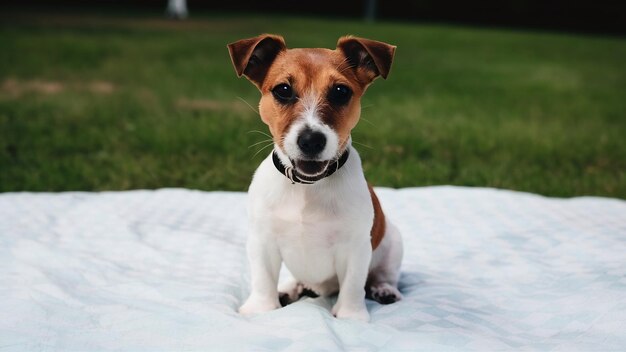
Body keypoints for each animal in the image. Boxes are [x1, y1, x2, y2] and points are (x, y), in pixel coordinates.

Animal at [227, 33, 402, 322]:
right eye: (283, 90)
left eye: (340, 92)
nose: (311, 140)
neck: (308, 188)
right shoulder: (262, 240)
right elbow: (263, 278)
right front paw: (261, 308)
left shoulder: (355, 246)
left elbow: (353, 283)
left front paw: (351, 316)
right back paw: (291, 289)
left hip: (392, 242)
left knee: (381, 275)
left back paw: (385, 289)